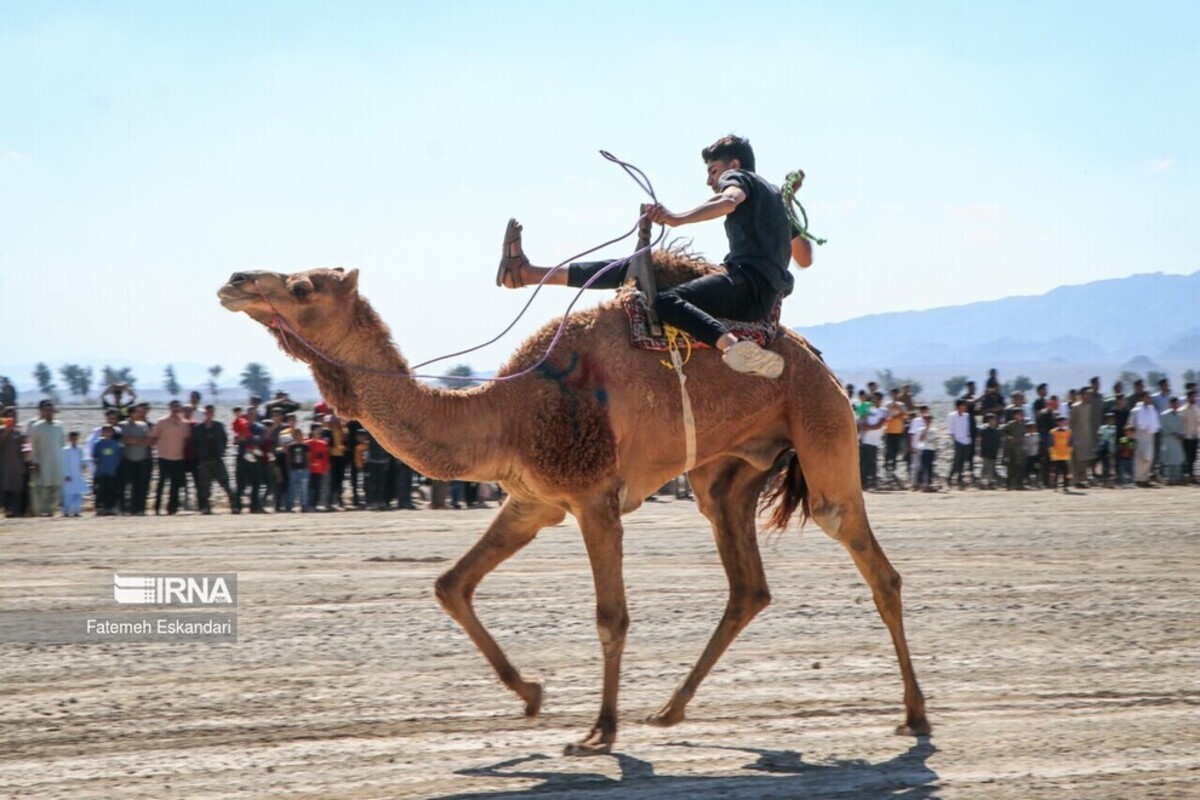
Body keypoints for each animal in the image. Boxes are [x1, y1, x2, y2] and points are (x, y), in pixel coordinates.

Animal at [216, 257, 926, 758]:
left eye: (302, 286)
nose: (234, 280)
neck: (506, 409)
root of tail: (824, 366)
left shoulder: (593, 500)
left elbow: (611, 616)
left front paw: (599, 730)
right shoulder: (532, 501)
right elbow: (452, 585)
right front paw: (531, 694)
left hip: (823, 433)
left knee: (873, 563)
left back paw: (915, 714)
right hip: (725, 477)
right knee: (748, 585)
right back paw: (670, 709)